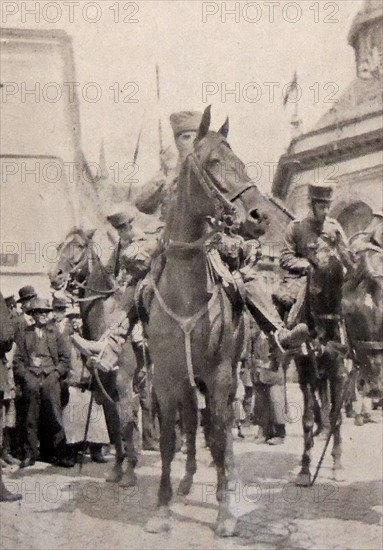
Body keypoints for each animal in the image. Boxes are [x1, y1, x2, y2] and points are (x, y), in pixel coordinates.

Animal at [49, 231, 140, 490]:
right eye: (59, 246)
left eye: (79, 246)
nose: (55, 275)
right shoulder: (105, 391)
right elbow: (114, 427)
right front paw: (117, 469)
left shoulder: (124, 389)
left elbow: (126, 426)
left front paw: (130, 473)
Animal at [144, 105, 282, 536]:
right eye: (214, 162)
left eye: (241, 161)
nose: (259, 216)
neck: (186, 294)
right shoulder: (166, 378)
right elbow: (169, 438)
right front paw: (161, 507)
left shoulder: (220, 375)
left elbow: (222, 433)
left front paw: (225, 511)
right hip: (189, 382)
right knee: (191, 424)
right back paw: (187, 480)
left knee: (218, 432)